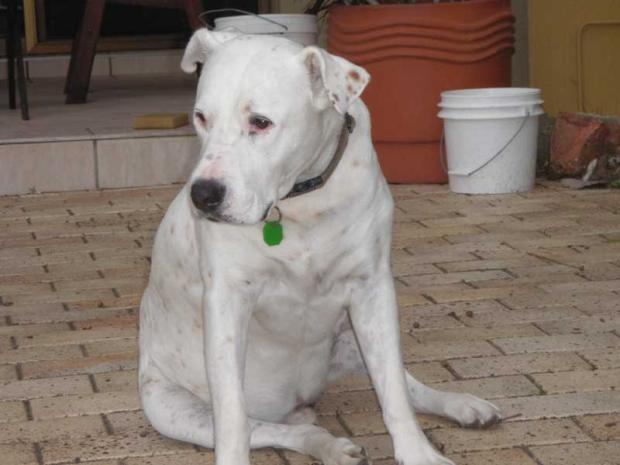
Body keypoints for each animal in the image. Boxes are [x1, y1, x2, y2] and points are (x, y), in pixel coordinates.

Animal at [138, 29, 502, 465]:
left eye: (260, 122)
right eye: (201, 117)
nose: (204, 195)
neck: (299, 199)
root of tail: (296, 403)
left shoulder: (371, 288)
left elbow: (394, 393)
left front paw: (418, 453)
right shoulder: (228, 302)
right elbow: (233, 418)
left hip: (349, 335)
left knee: (403, 383)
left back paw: (461, 405)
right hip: (170, 408)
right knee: (273, 429)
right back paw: (329, 445)